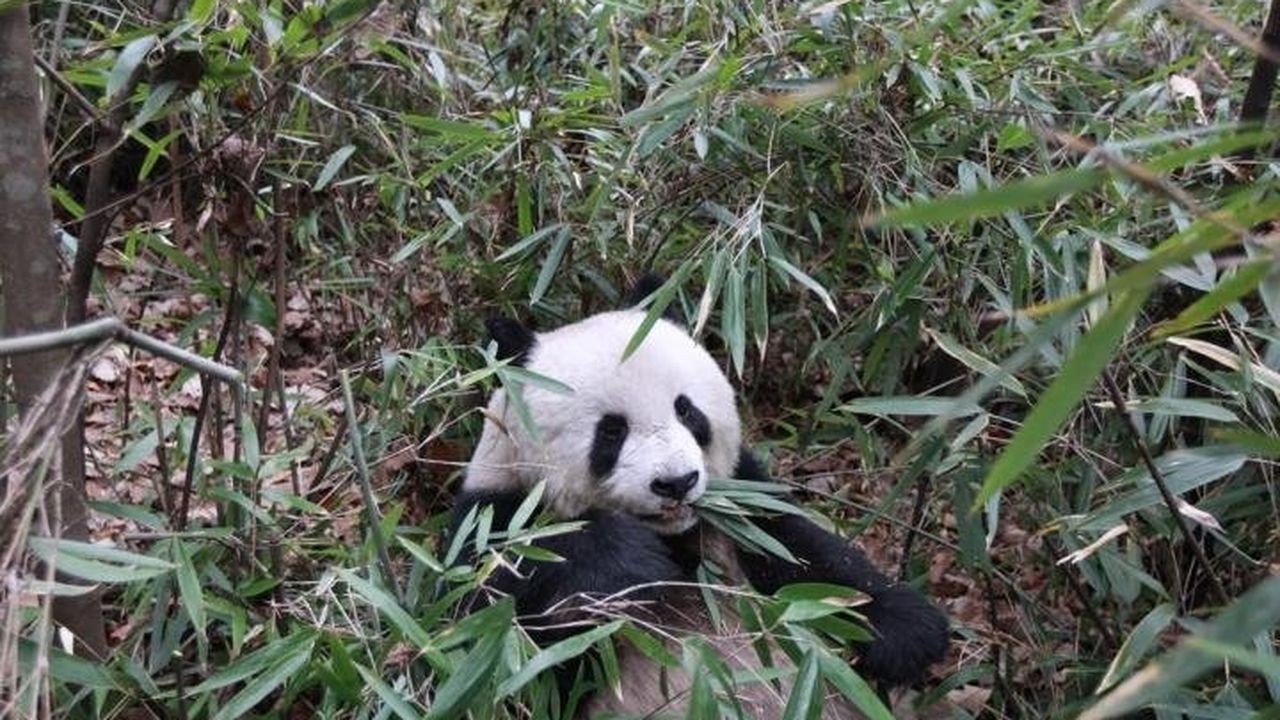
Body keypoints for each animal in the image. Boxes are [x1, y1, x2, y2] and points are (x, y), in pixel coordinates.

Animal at [450, 278, 949, 718]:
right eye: (611, 431)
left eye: (686, 410)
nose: (676, 482)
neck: (676, 537)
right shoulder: (491, 518)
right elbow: (494, 631)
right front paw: (631, 563)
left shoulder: (740, 500)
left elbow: (805, 554)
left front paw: (906, 631)